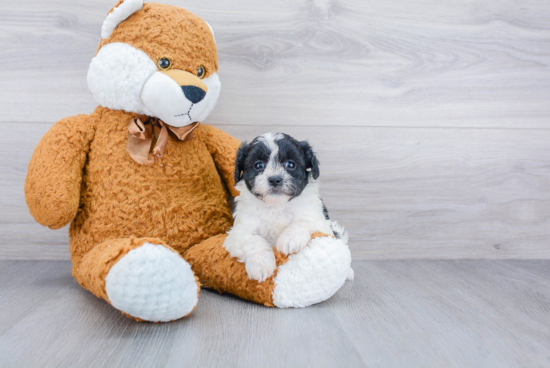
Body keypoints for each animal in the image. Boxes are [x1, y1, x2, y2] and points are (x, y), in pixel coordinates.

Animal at [223, 132, 350, 282]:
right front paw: (261, 264)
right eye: (258, 165)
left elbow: (304, 220)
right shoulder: (238, 231)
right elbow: (252, 239)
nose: (274, 179)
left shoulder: (320, 221)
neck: (276, 206)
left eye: (290, 164)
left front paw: (290, 239)